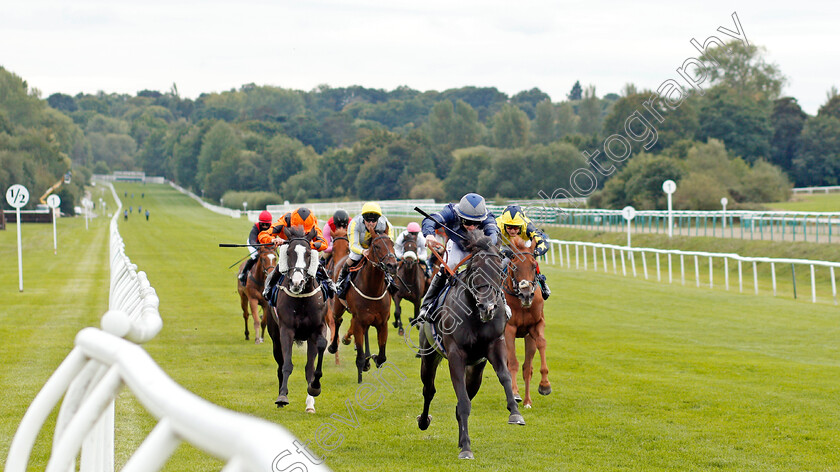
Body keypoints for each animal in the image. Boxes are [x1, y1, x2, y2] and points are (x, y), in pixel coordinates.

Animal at [266, 227, 328, 412]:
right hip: (275, 336)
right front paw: (282, 396)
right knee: (280, 364)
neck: (301, 300)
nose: (297, 282)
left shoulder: (317, 329)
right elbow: (287, 365)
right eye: (289, 253)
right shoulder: (286, 330)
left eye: (308, 253)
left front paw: (314, 390)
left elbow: (312, 364)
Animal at [328, 230, 398, 384]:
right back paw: (334, 345)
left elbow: (382, 357)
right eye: (376, 246)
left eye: (392, 243)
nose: (392, 265)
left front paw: (372, 358)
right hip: (338, 305)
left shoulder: (382, 323)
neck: (373, 289)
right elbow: (359, 357)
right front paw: (361, 373)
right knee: (337, 320)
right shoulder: (359, 321)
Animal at [416, 230, 520, 460]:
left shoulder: (495, 344)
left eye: (499, 270)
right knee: (429, 390)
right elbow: (463, 402)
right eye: (475, 269)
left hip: (475, 370)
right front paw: (466, 449)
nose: (487, 307)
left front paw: (515, 413)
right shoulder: (455, 354)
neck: (475, 315)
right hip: (429, 356)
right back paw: (424, 421)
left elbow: (505, 376)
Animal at [502, 236, 556, 410]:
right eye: (514, 266)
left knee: (527, 367)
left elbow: (542, 344)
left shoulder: (536, 325)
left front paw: (545, 385)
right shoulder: (509, 329)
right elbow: (512, 362)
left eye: (534, 265)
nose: (526, 294)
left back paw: (527, 401)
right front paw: (514, 392)